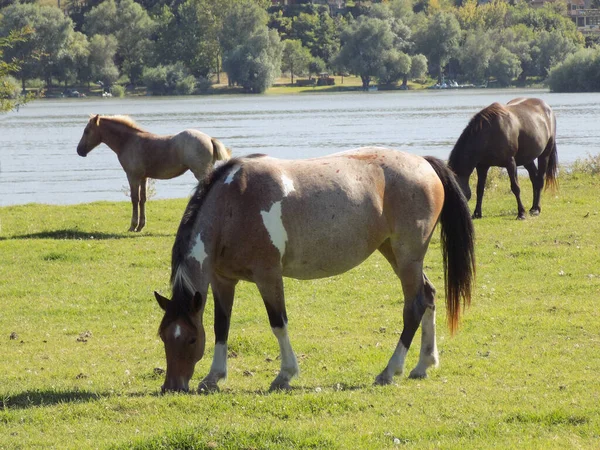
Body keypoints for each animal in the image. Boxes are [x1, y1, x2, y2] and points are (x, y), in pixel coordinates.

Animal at [76, 115, 231, 232]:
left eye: (86, 131)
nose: (79, 150)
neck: (128, 141)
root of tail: (209, 139)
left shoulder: (132, 176)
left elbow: (134, 199)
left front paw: (132, 226)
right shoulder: (143, 178)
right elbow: (143, 199)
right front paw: (140, 226)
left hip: (200, 172)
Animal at [155, 149, 478, 394]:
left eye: (191, 339)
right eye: (163, 336)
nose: (172, 387)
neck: (233, 203)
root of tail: (424, 162)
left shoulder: (268, 276)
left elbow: (278, 324)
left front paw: (285, 375)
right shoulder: (223, 280)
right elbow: (222, 327)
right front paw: (213, 377)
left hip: (407, 256)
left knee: (414, 307)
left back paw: (390, 370)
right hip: (395, 254)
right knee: (429, 297)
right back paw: (423, 364)